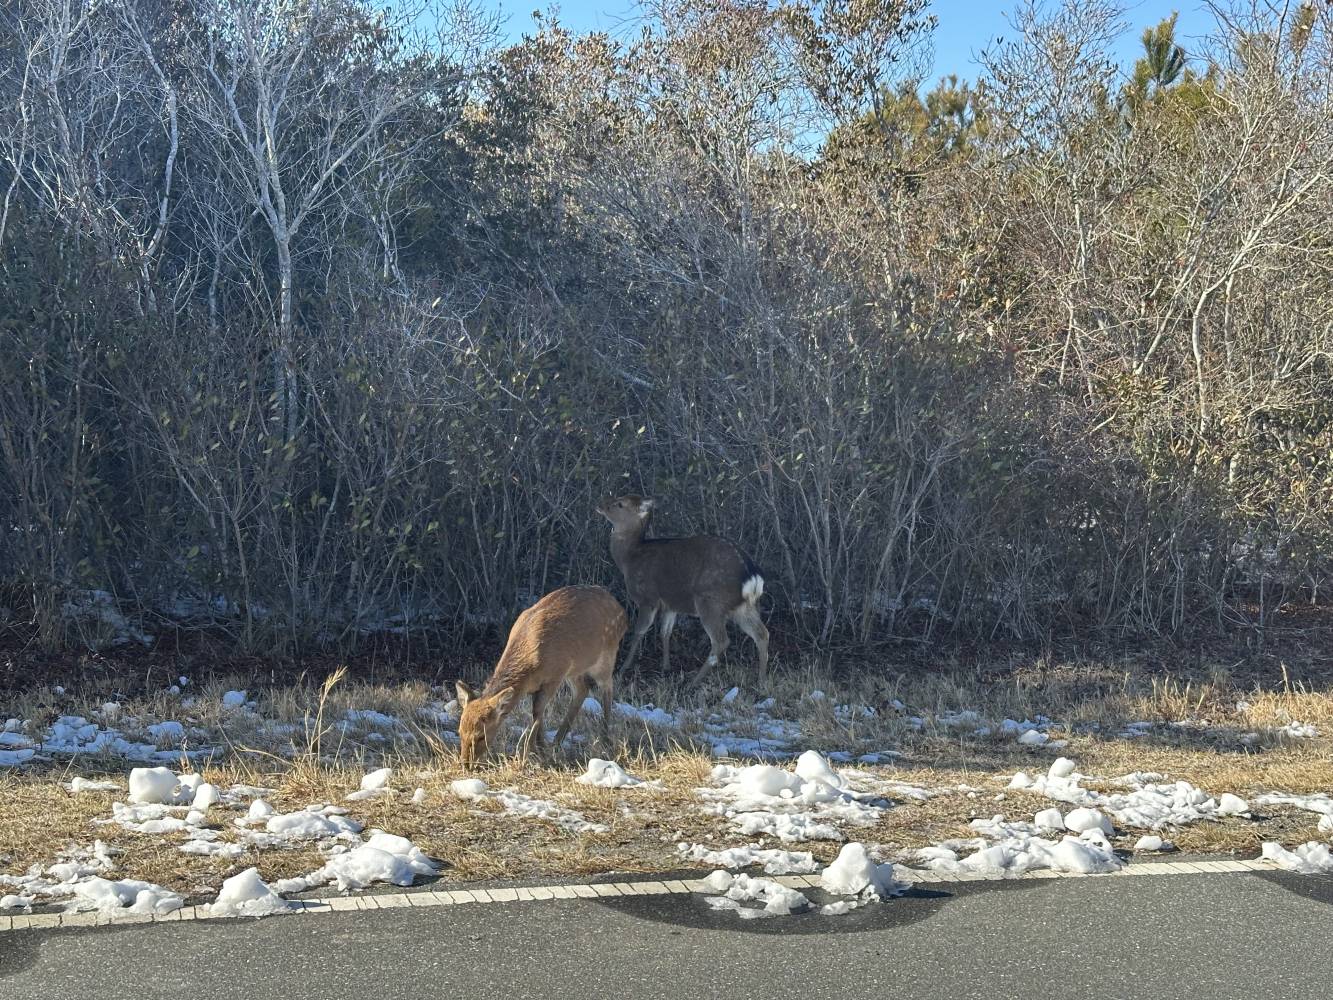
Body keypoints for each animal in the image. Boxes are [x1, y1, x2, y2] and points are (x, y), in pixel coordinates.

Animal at [454, 585, 627, 769]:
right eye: (460, 731)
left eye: (481, 735)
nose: (465, 764)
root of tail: (622, 611)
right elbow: (538, 712)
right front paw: (541, 748)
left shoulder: (555, 675)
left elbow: (537, 711)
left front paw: (528, 754)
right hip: (575, 668)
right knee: (582, 689)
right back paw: (557, 742)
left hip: (606, 655)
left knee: (607, 689)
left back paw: (605, 739)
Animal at [596, 495, 769, 687]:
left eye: (620, 504)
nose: (600, 505)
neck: (629, 559)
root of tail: (751, 575)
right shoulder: (671, 604)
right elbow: (665, 632)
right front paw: (666, 667)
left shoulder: (648, 598)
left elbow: (639, 632)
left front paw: (622, 669)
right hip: (744, 607)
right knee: (762, 634)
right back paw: (762, 680)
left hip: (709, 602)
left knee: (721, 641)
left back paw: (693, 682)